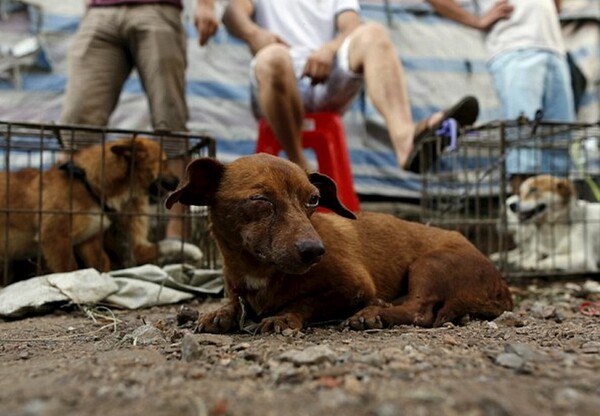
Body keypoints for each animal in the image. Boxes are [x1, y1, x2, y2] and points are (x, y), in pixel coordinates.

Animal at [0, 138, 203, 278]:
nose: (179, 181)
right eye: (164, 161)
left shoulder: (88, 240)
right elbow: (69, 269)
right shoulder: (55, 238)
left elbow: (101, 263)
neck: (88, 185)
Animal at [166, 154, 512, 334]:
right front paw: (220, 312)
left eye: (313, 199)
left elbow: (306, 302)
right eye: (260, 200)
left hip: (429, 263)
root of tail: (502, 286)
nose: (315, 251)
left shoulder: (354, 287)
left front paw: (284, 316)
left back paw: (374, 313)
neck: (259, 271)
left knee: (419, 310)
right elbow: (232, 300)